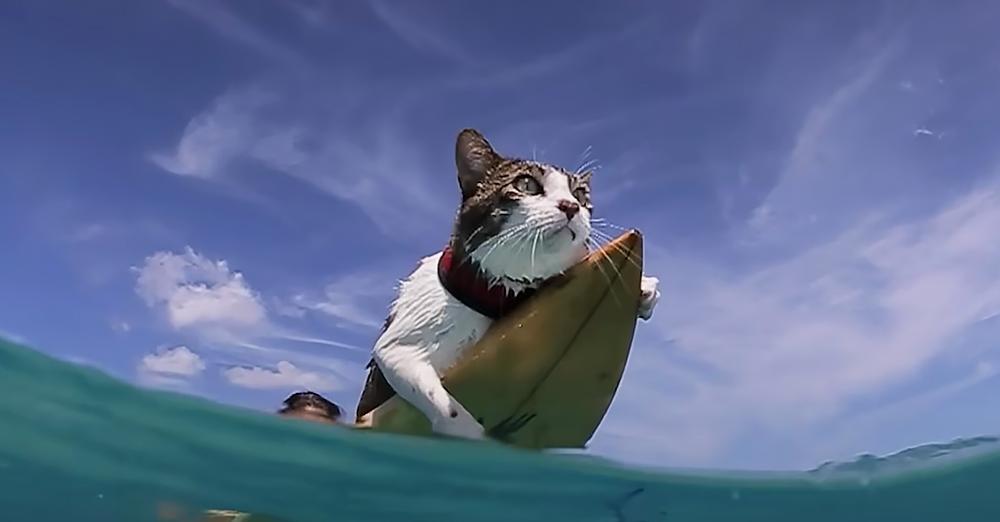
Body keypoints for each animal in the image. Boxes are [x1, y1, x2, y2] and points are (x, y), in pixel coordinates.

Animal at [356, 128, 660, 436]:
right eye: (526, 185)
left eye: (579, 193)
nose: (571, 206)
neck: (497, 292)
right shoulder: (396, 348)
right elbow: (439, 397)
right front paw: (468, 431)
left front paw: (644, 287)